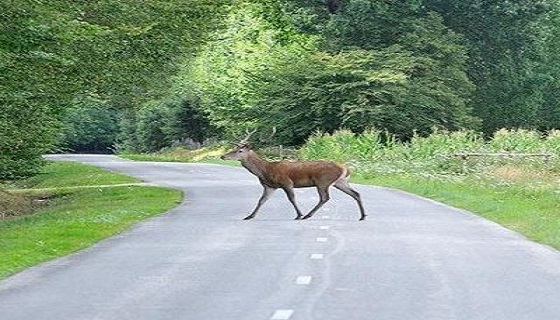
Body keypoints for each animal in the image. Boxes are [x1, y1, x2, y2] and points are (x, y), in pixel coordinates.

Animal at [219, 127, 368, 220]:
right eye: (233, 148)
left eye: (240, 151)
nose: (223, 156)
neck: (265, 171)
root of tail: (345, 168)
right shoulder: (269, 186)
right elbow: (261, 200)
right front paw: (249, 216)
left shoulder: (286, 182)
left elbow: (291, 198)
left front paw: (299, 214)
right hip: (340, 182)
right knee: (356, 193)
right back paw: (362, 216)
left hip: (323, 181)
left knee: (325, 198)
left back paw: (307, 215)